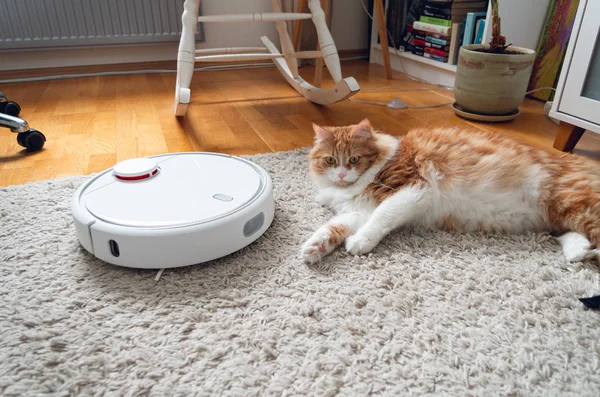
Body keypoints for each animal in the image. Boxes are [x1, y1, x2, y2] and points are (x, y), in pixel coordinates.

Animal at [302, 119, 600, 264]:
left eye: (353, 159)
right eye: (330, 160)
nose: (342, 174)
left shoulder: (412, 189)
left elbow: (380, 219)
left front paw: (359, 243)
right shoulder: (359, 210)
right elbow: (333, 227)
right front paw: (315, 248)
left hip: (574, 206)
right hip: (560, 217)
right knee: (573, 238)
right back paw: (581, 253)